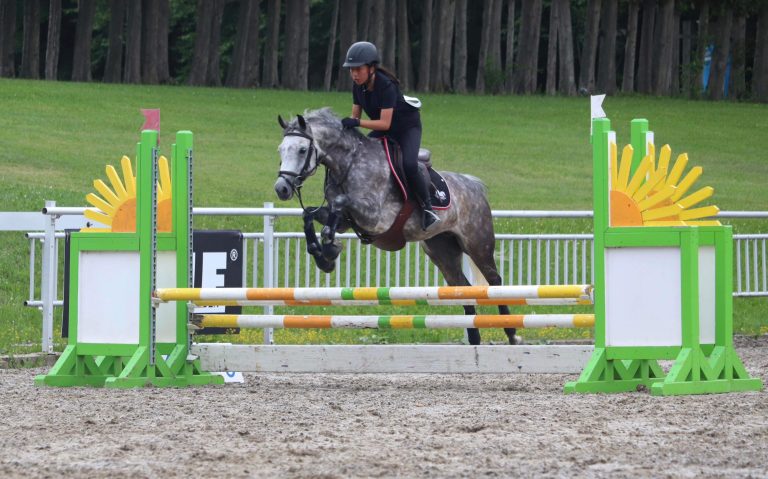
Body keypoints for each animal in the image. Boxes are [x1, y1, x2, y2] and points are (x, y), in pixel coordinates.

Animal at [272, 109, 512, 344]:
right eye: (281, 150)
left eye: (302, 150)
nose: (281, 189)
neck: (348, 165)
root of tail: (473, 185)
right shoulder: (345, 221)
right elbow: (309, 215)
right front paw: (324, 256)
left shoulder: (377, 218)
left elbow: (340, 203)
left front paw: (330, 248)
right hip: (441, 250)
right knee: (461, 287)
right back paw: (474, 339)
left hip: (477, 243)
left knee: (495, 281)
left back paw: (512, 333)